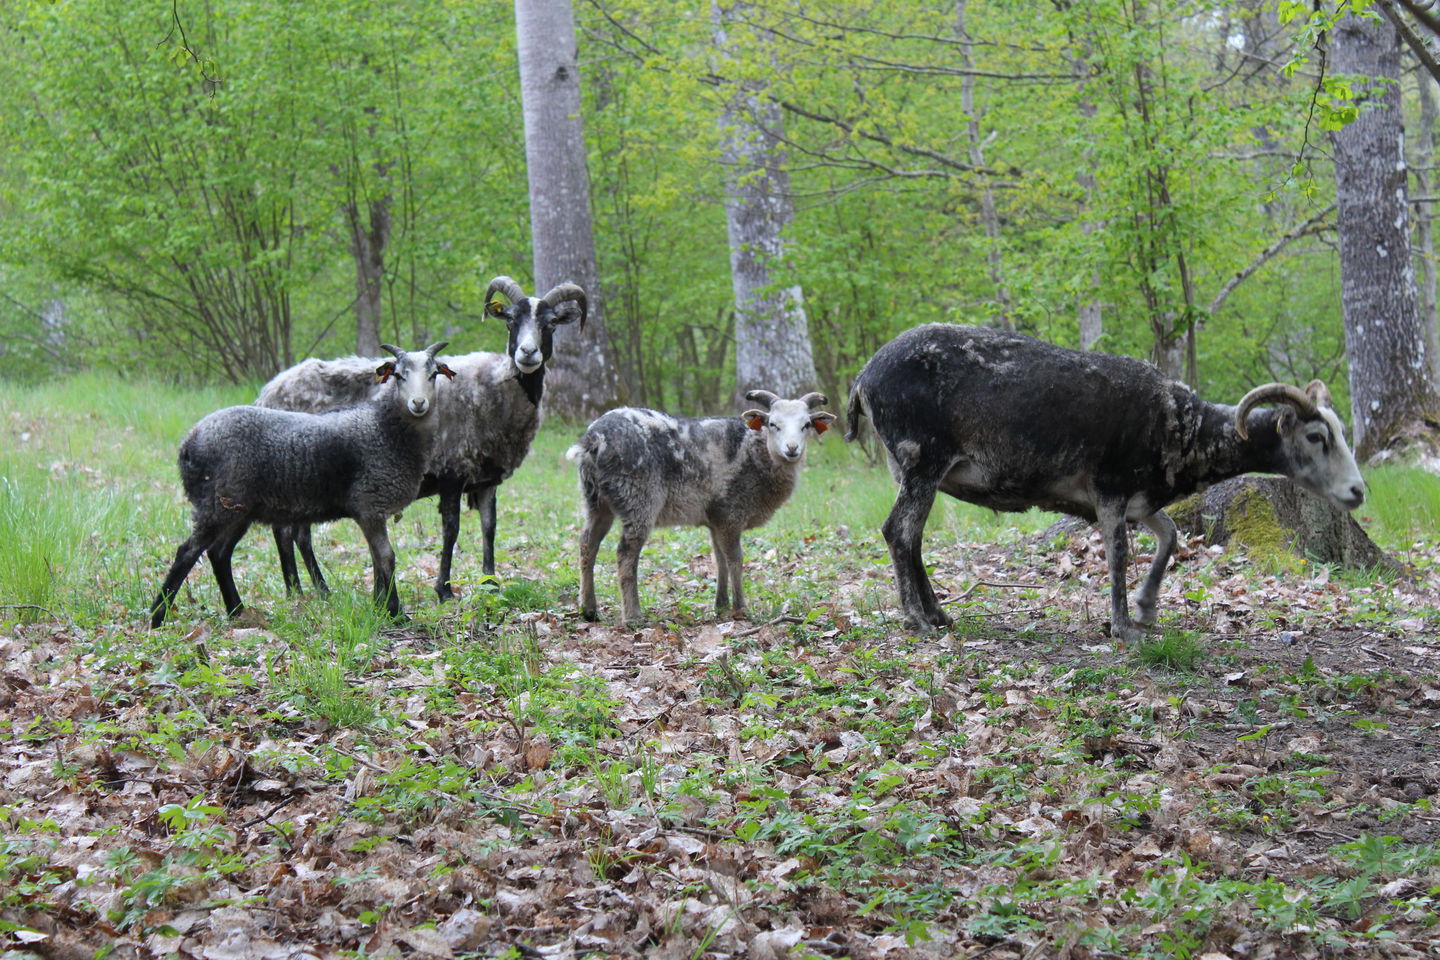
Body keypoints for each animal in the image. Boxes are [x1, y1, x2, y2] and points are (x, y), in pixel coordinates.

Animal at [149, 341, 452, 627]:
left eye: (433, 374)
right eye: (399, 375)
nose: (418, 403)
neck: (384, 428)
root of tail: (188, 443)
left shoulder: (372, 511)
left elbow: (377, 561)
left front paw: (380, 608)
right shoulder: (370, 502)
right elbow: (386, 558)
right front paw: (395, 612)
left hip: (238, 509)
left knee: (219, 553)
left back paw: (236, 610)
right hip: (218, 503)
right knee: (187, 552)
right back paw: (157, 616)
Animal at [253, 273, 584, 595]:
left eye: (551, 323)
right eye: (510, 320)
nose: (528, 353)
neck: (493, 386)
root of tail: (268, 390)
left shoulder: (487, 478)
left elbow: (489, 527)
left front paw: (490, 585)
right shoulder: (453, 471)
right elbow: (451, 530)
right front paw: (444, 590)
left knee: (295, 531)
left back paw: (313, 591)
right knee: (287, 531)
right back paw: (302, 592)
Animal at [561, 388, 835, 624]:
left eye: (806, 425)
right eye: (773, 424)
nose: (792, 449)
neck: (758, 453)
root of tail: (594, 439)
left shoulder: (717, 518)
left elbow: (719, 559)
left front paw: (721, 605)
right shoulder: (732, 512)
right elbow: (735, 559)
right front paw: (740, 607)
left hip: (597, 501)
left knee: (587, 545)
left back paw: (589, 609)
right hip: (638, 497)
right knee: (625, 554)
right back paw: (632, 615)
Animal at [846, 325, 1365, 644]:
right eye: (1316, 437)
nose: (1359, 492)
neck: (1186, 431)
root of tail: (863, 378)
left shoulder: (1141, 500)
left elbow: (1171, 536)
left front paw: (1147, 607)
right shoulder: (1110, 489)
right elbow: (1117, 554)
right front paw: (1124, 627)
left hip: (909, 467)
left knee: (912, 537)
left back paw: (938, 614)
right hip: (923, 458)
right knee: (899, 531)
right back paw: (917, 619)